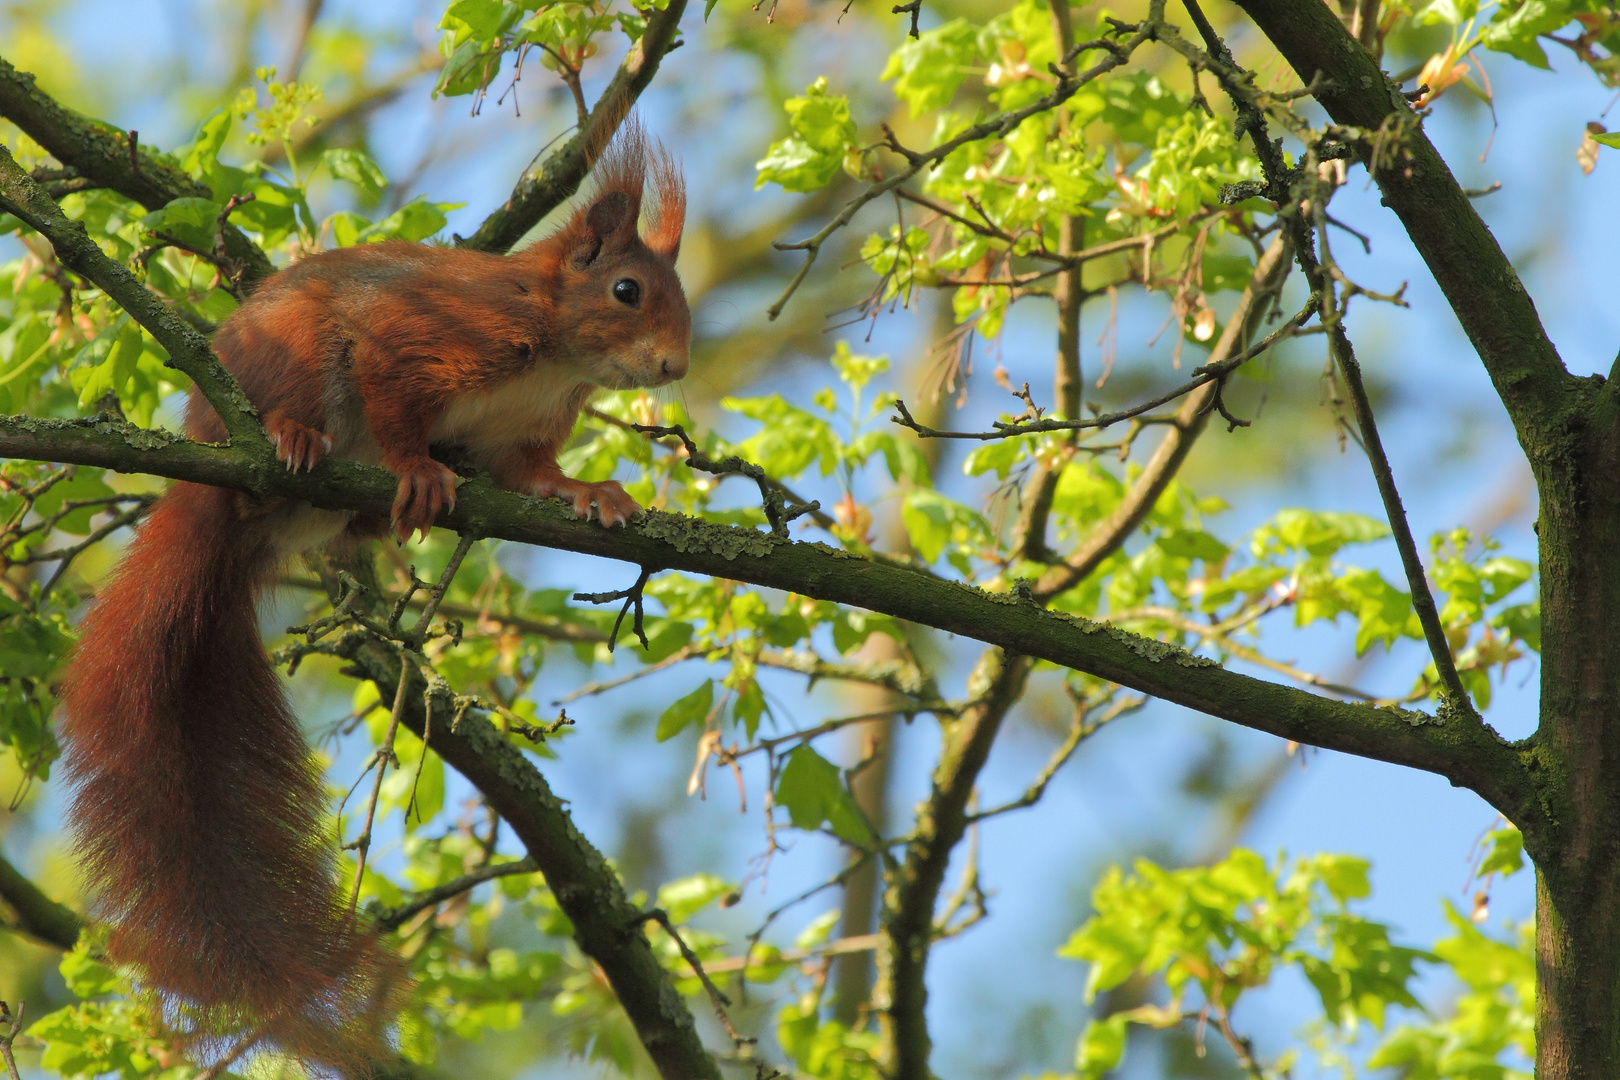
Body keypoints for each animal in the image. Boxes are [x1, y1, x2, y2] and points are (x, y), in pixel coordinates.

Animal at [58, 122, 683, 1062]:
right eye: (627, 290)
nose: (675, 366)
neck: (554, 345)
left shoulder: (523, 436)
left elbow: (534, 476)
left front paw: (595, 494)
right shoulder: (425, 338)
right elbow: (394, 405)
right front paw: (417, 468)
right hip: (291, 361)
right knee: (296, 424)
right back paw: (295, 438)